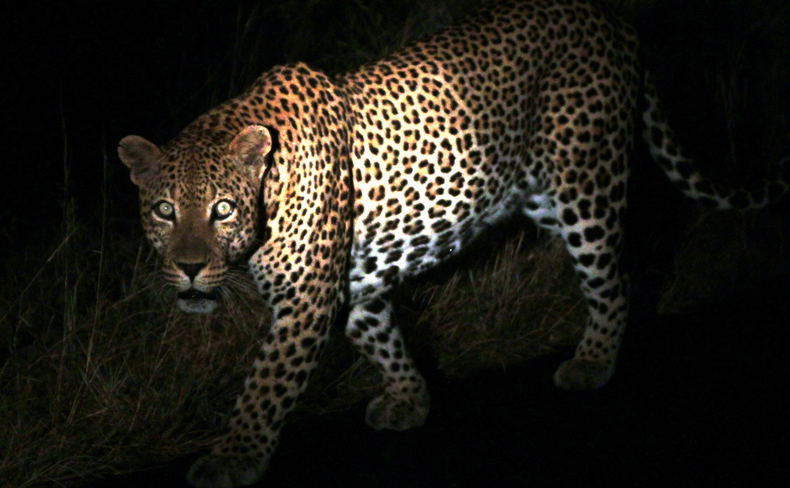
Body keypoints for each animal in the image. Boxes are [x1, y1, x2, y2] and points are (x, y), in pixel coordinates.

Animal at [117, 0, 787, 486]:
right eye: (165, 211)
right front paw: (410, 401)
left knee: (611, 277)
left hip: (585, 187)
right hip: (542, 196)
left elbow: (265, 384)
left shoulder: (306, 301)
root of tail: (613, 19)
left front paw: (234, 457)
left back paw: (593, 362)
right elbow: (383, 340)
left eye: (223, 210)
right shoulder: (355, 285)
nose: (189, 268)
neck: (270, 189)